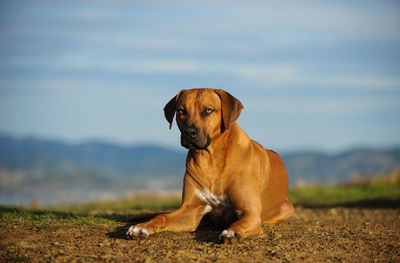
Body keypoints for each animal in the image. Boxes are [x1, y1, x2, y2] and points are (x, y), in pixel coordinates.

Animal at [126, 88, 294, 243]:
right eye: (181, 111)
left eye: (208, 110)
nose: (189, 132)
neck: (210, 160)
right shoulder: (191, 209)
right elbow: (162, 216)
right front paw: (142, 227)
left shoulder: (249, 211)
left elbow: (241, 222)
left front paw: (232, 231)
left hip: (288, 207)